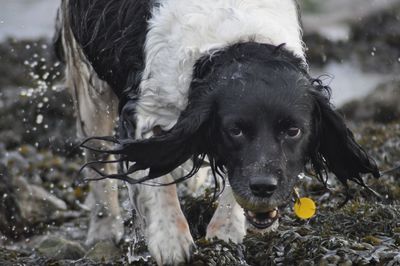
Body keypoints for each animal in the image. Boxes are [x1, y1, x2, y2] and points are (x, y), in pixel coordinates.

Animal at [54, 1, 380, 264]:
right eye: (234, 130)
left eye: (293, 130)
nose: (264, 187)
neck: (237, 40)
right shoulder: (145, 110)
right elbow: (156, 176)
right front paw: (170, 240)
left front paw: (225, 230)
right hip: (90, 88)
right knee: (99, 164)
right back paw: (104, 228)